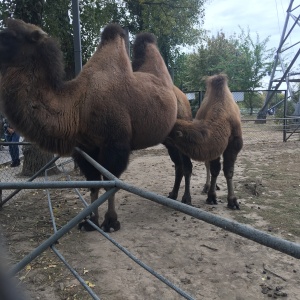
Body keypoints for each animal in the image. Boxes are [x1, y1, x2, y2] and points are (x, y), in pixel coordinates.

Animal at [0, 19, 178, 232]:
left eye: (8, 36)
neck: (78, 106)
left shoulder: (114, 145)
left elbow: (110, 182)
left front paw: (110, 222)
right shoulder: (86, 148)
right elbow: (93, 183)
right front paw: (90, 221)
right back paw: (176, 196)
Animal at [168, 73, 243, 209]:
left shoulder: (235, 143)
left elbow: (228, 171)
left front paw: (233, 201)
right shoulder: (216, 145)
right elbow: (215, 169)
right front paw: (211, 196)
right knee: (208, 165)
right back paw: (207, 187)